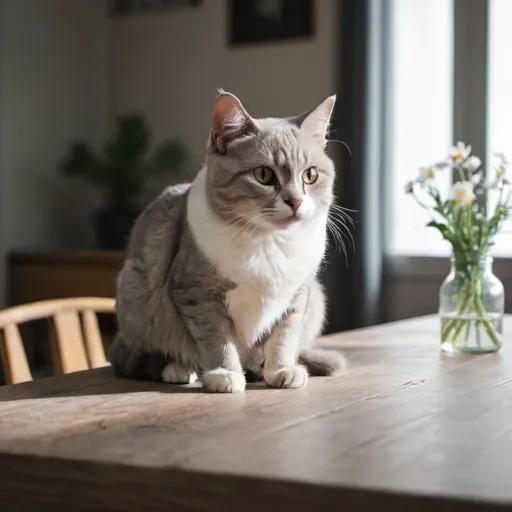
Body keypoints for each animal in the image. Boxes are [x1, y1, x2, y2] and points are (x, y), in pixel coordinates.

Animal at [109, 90, 346, 392]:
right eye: (263, 175)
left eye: (310, 175)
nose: (295, 201)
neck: (267, 242)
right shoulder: (196, 293)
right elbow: (217, 340)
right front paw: (225, 374)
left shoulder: (297, 295)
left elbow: (283, 337)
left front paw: (281, 370)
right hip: (135, 293)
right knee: (129, 358)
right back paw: (178, 369)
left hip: (317, 298)